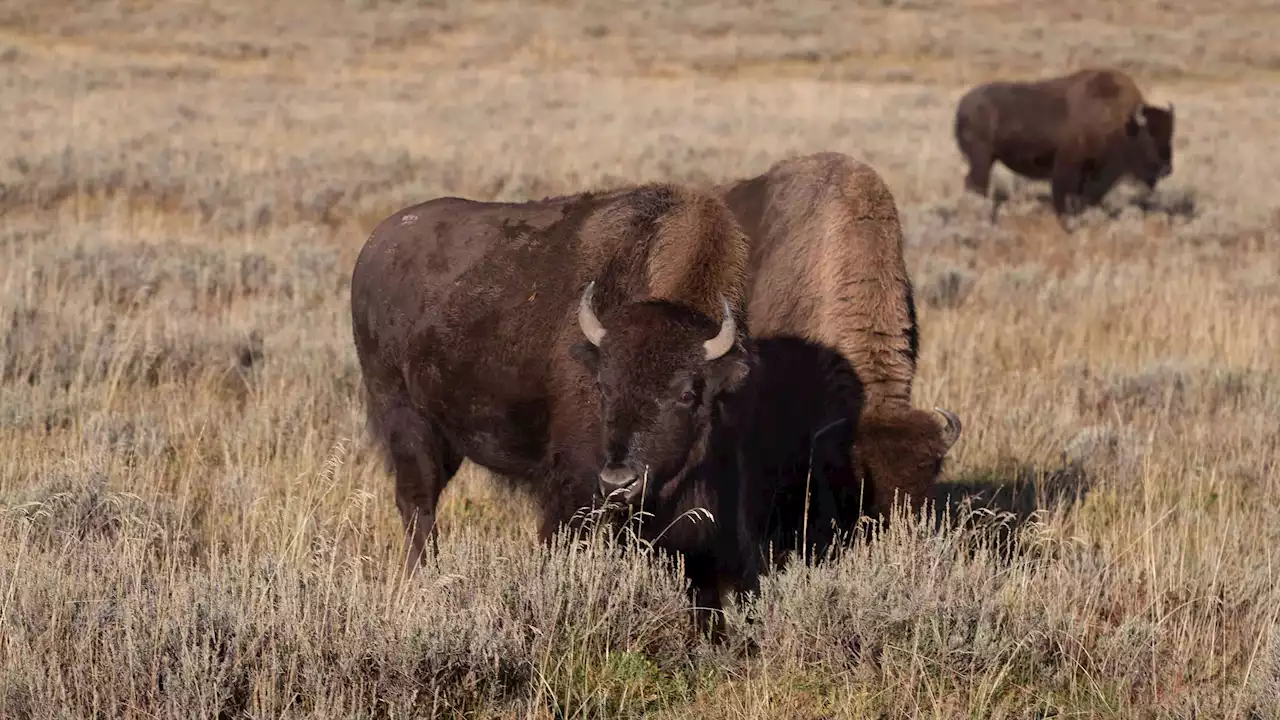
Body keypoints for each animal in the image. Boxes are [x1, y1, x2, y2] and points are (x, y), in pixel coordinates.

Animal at [350, 181, 762, 635]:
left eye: (687, 393)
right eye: (603, 385)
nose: (619, 481)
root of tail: (376, 244)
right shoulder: (573, 487)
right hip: (404, 419)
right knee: (418, 504)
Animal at [957, 67, 1172, 224]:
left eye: (1170, 133)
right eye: (1149, 135)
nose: (1166, 169)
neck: (1123, 123)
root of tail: (962, 105)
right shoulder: (1068, 167)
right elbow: (1064, 194)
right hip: (982, 160)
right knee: (976, 184)